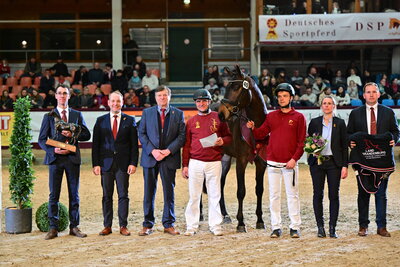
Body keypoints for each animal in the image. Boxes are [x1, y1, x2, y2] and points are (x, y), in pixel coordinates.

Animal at [216, 65, 268, 232]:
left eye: (235, 87)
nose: (221, 114)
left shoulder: (261, 163)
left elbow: (259, 189)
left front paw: (260, 220)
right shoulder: (241, 161)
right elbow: (241, 191)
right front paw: (241, 223)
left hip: (225, 158)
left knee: (220, 183)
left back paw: (225, 215)